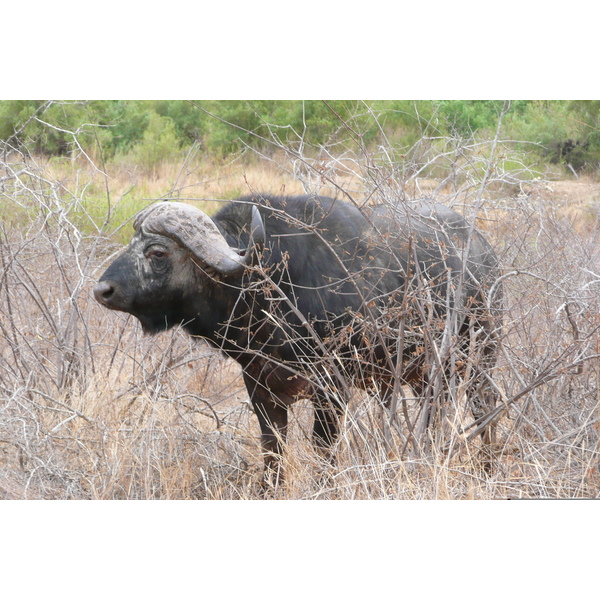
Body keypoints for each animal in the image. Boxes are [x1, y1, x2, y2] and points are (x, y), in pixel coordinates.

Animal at [94, 195, 504, 486]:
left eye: (157, 252)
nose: (102, 290)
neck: (268, 284)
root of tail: (485, 254)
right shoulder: (261, 389)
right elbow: (273, 452)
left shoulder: (332, 390)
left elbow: (323, 451)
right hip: (426, 376)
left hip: (481, 357)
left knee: (486, 408)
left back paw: (487, 468)